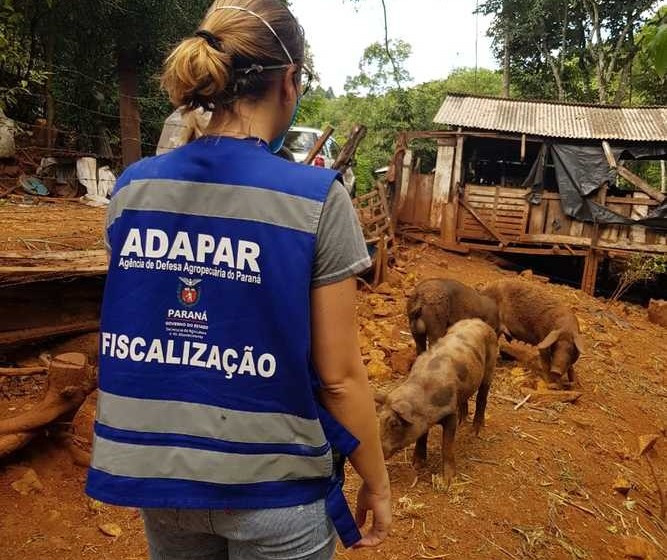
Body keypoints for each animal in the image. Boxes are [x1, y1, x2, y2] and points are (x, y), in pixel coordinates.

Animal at [376, 320, 496, 486]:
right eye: (379, 420)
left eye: (394, 423)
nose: (379, 453)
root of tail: (480, 321)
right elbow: (421, 436)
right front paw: (417, 465)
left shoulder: (450, 412)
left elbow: (447, 445)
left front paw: (448, 480)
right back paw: (463, 423)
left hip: (490, 367)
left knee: (482, 398)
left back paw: (474, 431)